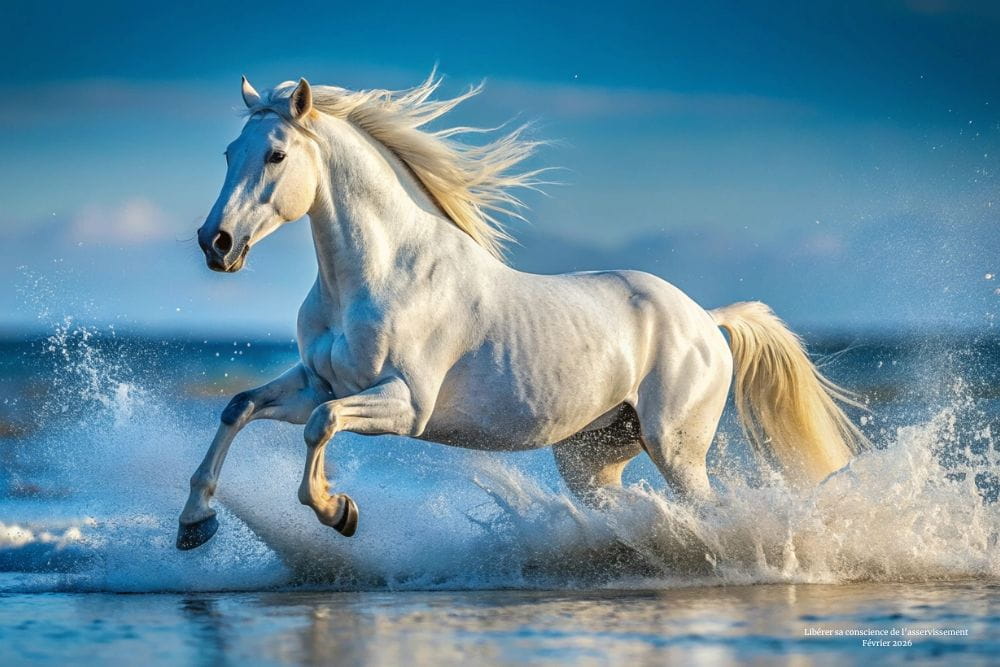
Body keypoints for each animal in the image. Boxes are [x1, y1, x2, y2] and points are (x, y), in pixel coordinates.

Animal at [177, 74, 868, 550]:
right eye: (228, 153)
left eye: (276, 156)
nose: (217, 244)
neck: (382, 275)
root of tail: (706, 318)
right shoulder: (318, 382)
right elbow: (240, 406)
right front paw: (195, 524)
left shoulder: (404, 403)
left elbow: (321, 426)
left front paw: (338, 511)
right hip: (593, 458)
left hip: (677, 449)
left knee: (707, 509)